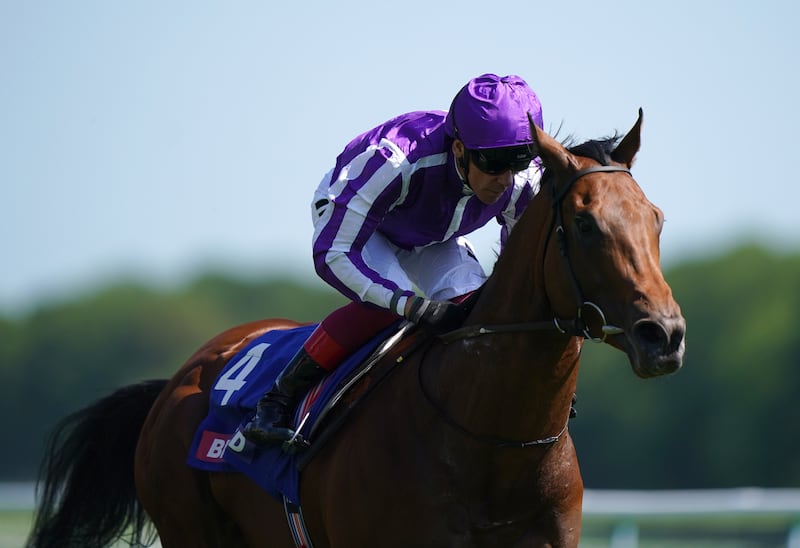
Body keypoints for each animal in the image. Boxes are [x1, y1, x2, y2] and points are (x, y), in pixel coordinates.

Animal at [26, 110, 688, 548]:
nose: (663, 334)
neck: (492, 442)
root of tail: (178, 380)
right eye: (585, 224)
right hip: (191, 531)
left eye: (655, 218)